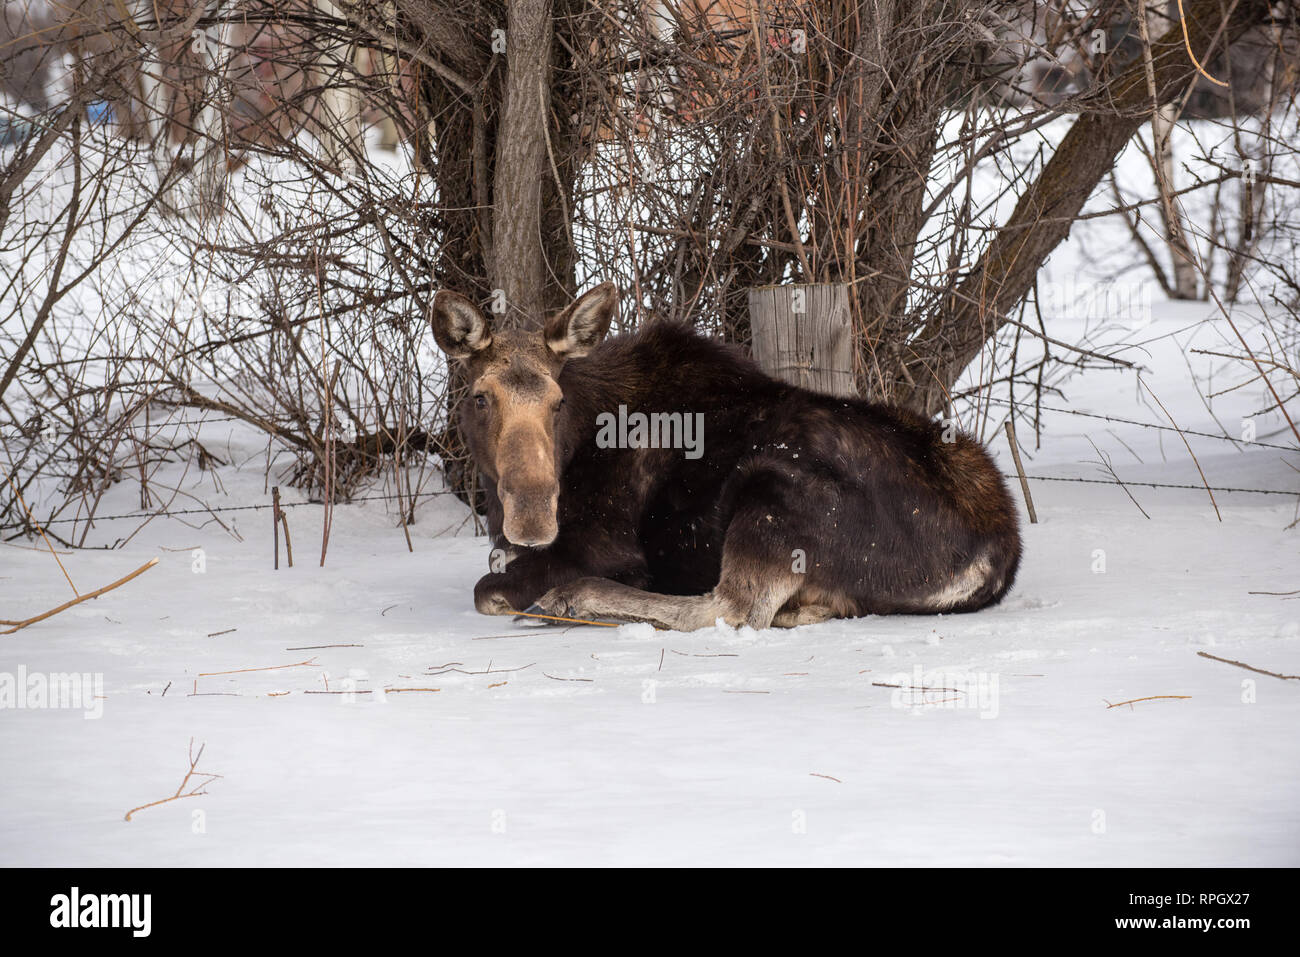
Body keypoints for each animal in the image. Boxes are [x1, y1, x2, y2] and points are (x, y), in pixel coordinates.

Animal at [436, 280, 1024, 631]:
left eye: (558, 401)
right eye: (480, 396)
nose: (533, 516)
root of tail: (994, 554)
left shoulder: (605, 547)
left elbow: (488, 589)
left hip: (772, 494)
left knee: (734, 610)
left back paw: (571, 599)